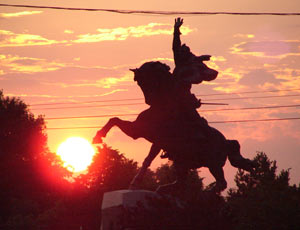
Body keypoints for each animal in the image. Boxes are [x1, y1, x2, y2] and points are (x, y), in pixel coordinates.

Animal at [92, 61, 254, 194]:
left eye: (140, 80)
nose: (148, 100)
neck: (162, 105)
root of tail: (226, 142)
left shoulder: (146, 135)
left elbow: (145, 156)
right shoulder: (147, 136)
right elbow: (115, 121)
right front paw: (98, 137)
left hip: (212, 163)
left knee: (221, 183)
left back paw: (205, 194)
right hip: (182, 160)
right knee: (182, 180)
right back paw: (165, 188)